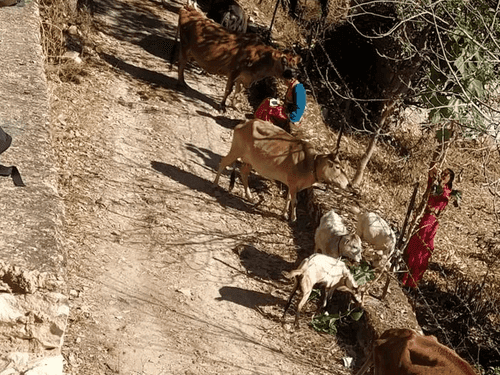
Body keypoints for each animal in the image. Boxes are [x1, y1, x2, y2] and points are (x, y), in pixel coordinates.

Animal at [213, 119, 350, 222]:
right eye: (337, 167)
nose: (348, 184)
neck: (310, 163)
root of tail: (245, 123)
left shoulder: (292, 184)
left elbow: (288, 198)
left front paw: (284, 214)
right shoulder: (294, 184)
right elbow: (294, 201)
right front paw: (293, 217)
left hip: (249, 161)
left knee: (243, 173)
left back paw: (250, 196)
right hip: (236, 150)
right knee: (223, 162)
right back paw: (215, 184)